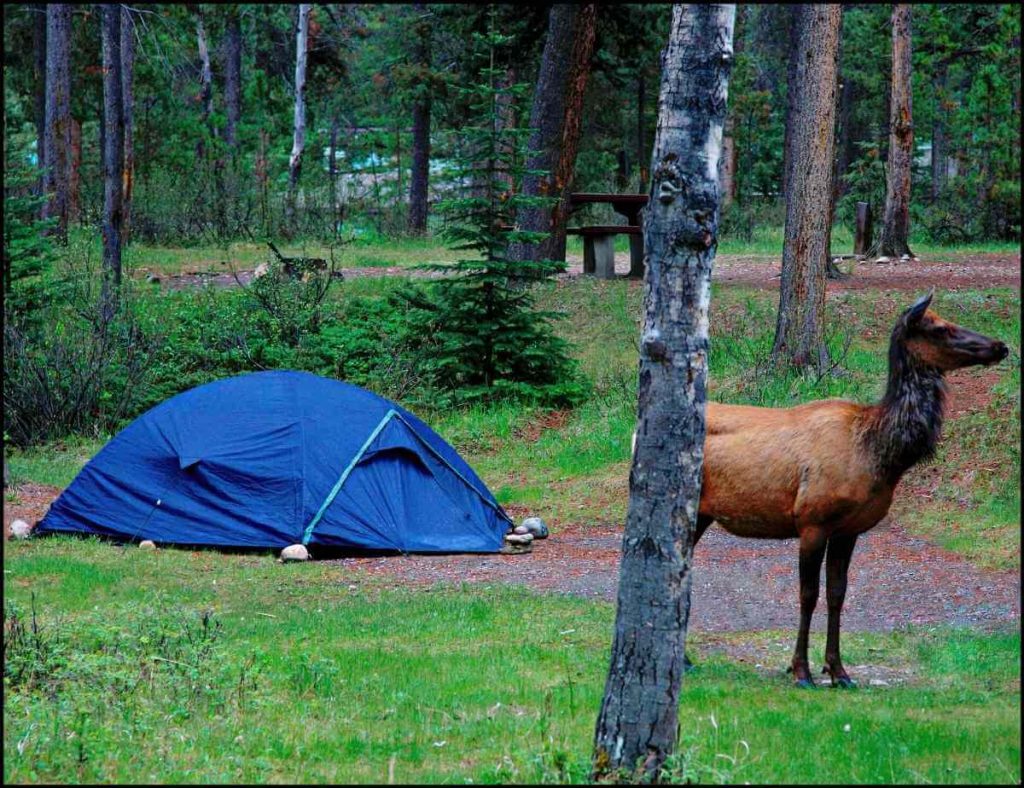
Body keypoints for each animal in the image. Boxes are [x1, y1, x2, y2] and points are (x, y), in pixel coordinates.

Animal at [630, 290, 1007, 683]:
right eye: (940, 328)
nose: (1000, 345)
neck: (879, 452)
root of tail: (635, 434)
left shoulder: (849, 529)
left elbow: (837, 594)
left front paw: (839, 670)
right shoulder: (812, 520)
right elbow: (808, 594)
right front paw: (801, 670)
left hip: (702, 514)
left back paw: (685, 658)